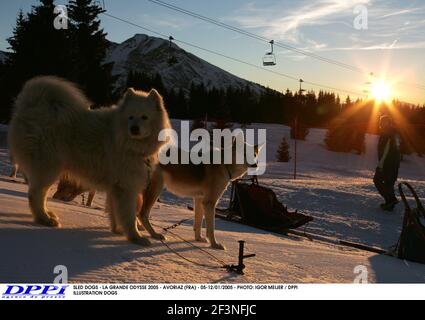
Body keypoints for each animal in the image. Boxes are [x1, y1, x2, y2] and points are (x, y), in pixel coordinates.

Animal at [7, 75, 170, 245]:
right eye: (130, 117)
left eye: (145, 117)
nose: (134, 128)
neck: (126, 142)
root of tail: (30, 105)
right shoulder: (127, 187)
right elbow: (129, 216)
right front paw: (136, 238)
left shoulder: (116, 187)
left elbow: (114, 213)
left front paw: (118, 231)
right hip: (49, 168)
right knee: (35, 194)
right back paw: (44, 220)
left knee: (39, 194)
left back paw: (48, 214)